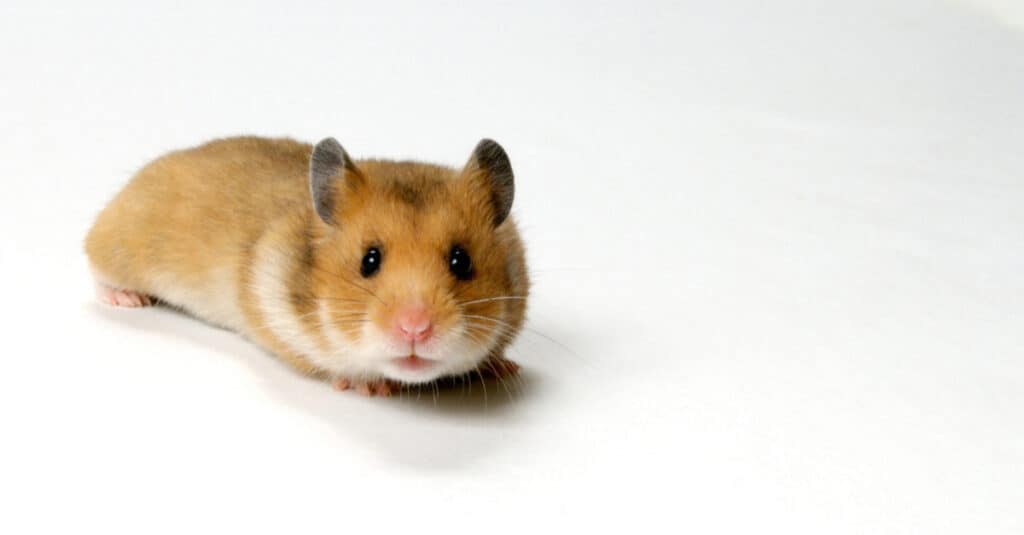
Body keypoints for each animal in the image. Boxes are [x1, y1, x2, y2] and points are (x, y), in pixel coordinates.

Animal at [85, 136, 529, 396]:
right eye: (369, 260)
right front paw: (370, 387)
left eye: (461, 260)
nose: (415, 330)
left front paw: (505, 368)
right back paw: (127, 299)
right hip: (119, 250)